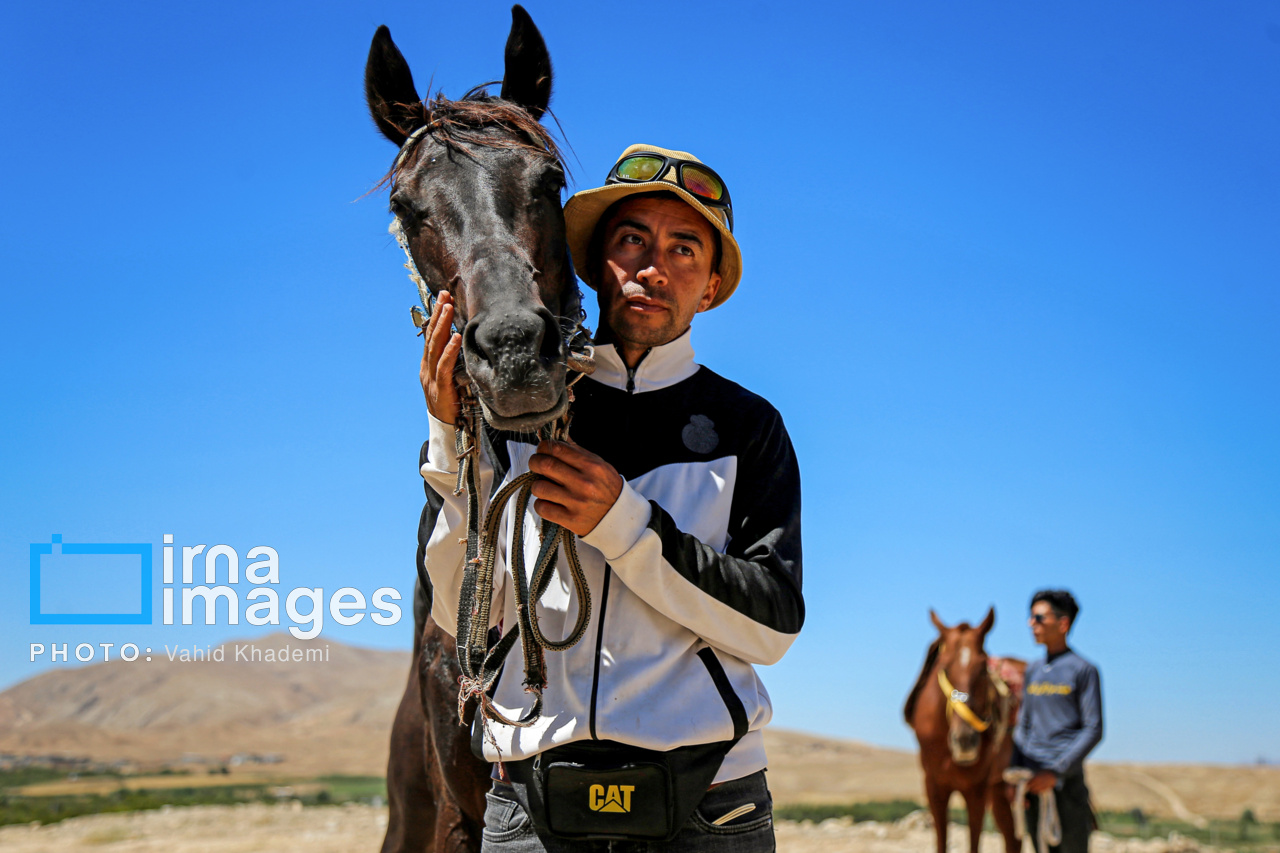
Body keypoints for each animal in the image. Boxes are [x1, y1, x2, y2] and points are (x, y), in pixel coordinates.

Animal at [906, 604, 1024, 850]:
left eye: (983, 668)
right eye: (944, 667)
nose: (965, 740)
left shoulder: (976, 790)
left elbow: (974, 843)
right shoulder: (934, 787)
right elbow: (941, 841)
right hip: (1000, 789)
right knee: (1012, 839)